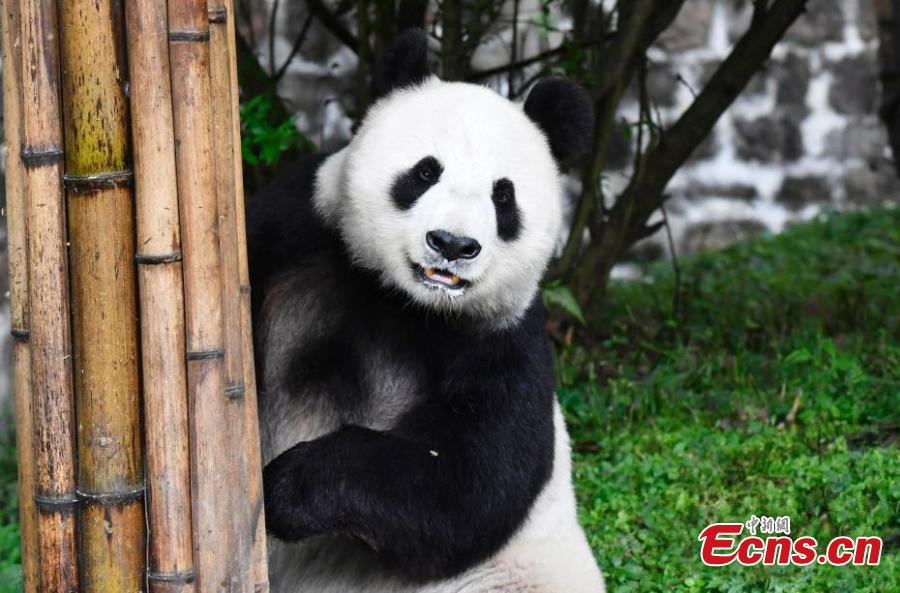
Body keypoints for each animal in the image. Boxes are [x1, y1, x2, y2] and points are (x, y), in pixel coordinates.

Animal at [248, 30, 604, 592]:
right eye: (424, 172)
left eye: (504, 197)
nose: (452, 244)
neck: (404, 300)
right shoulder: (298, 221)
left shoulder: (502, 333)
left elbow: (466, 484)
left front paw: (287, 485)